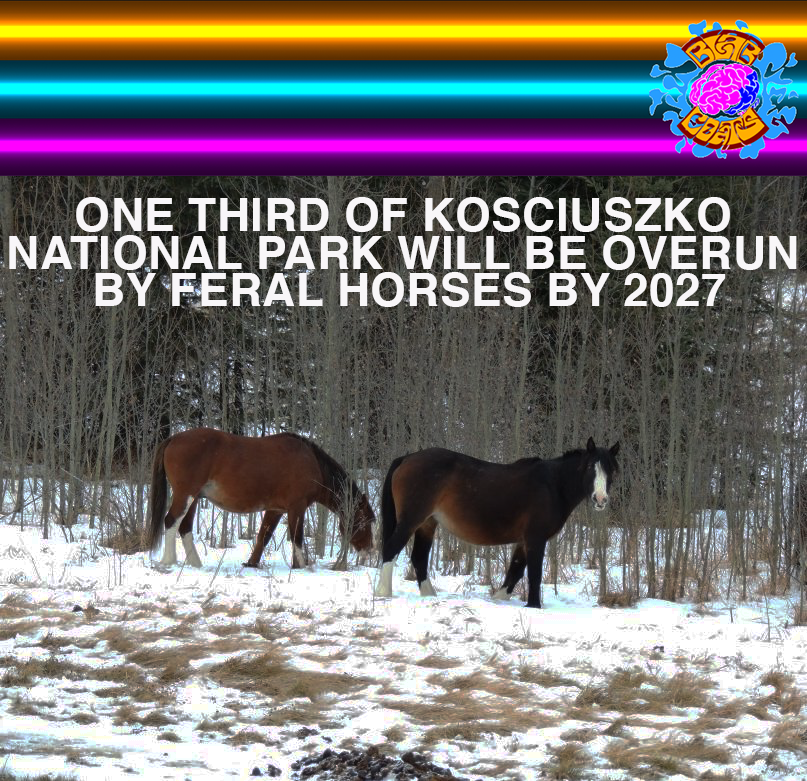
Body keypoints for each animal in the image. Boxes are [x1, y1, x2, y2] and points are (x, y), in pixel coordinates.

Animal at [146, 428, 375, 570]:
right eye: (364, 521)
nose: (370, 551)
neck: (313, 464)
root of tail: (174, 438)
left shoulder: (276, 509)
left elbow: (263, 537)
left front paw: (252, 564)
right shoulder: (297, 507)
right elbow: (297, 538)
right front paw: (301, 567)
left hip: (194, 498)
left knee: (184, 528)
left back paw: (196, 564)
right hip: (186, 495)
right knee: (171, 521)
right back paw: (169, 561)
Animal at [374, 437, 619, 608]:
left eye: (611, 469)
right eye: (590, 468)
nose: (600, 499)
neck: (553, 485)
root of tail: (407, 458)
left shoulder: (524, 541)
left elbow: (515, 571)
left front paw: (498, 600)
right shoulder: (536, 539)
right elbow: (534, 574)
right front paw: (534, 606)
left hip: (427, 523)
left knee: (419, 558)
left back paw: (429, 596)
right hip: (411, 520)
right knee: (391, 549)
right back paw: (383, 593)